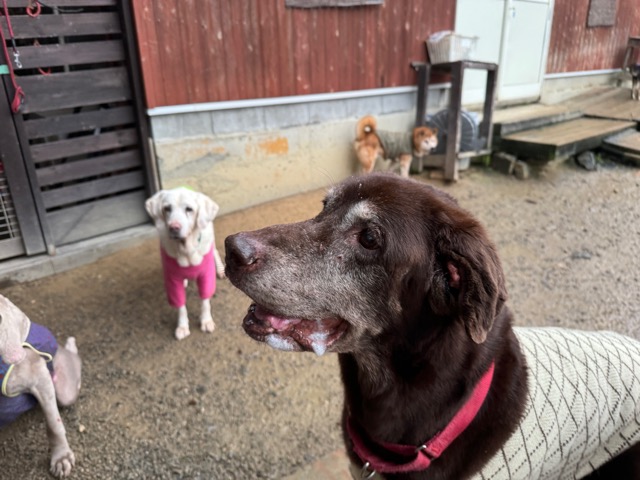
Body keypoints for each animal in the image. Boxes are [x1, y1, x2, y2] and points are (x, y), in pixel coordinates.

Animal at [145, 187, 226, 340]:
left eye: (189, 209)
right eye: (167, 208)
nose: (174, 227)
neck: (186, 250)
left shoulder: (206, 275)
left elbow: (205, 301)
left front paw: (206, 321)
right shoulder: (172, 279)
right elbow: (180, 305)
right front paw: (182, 327)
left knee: (216, 252)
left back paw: (220, 270)